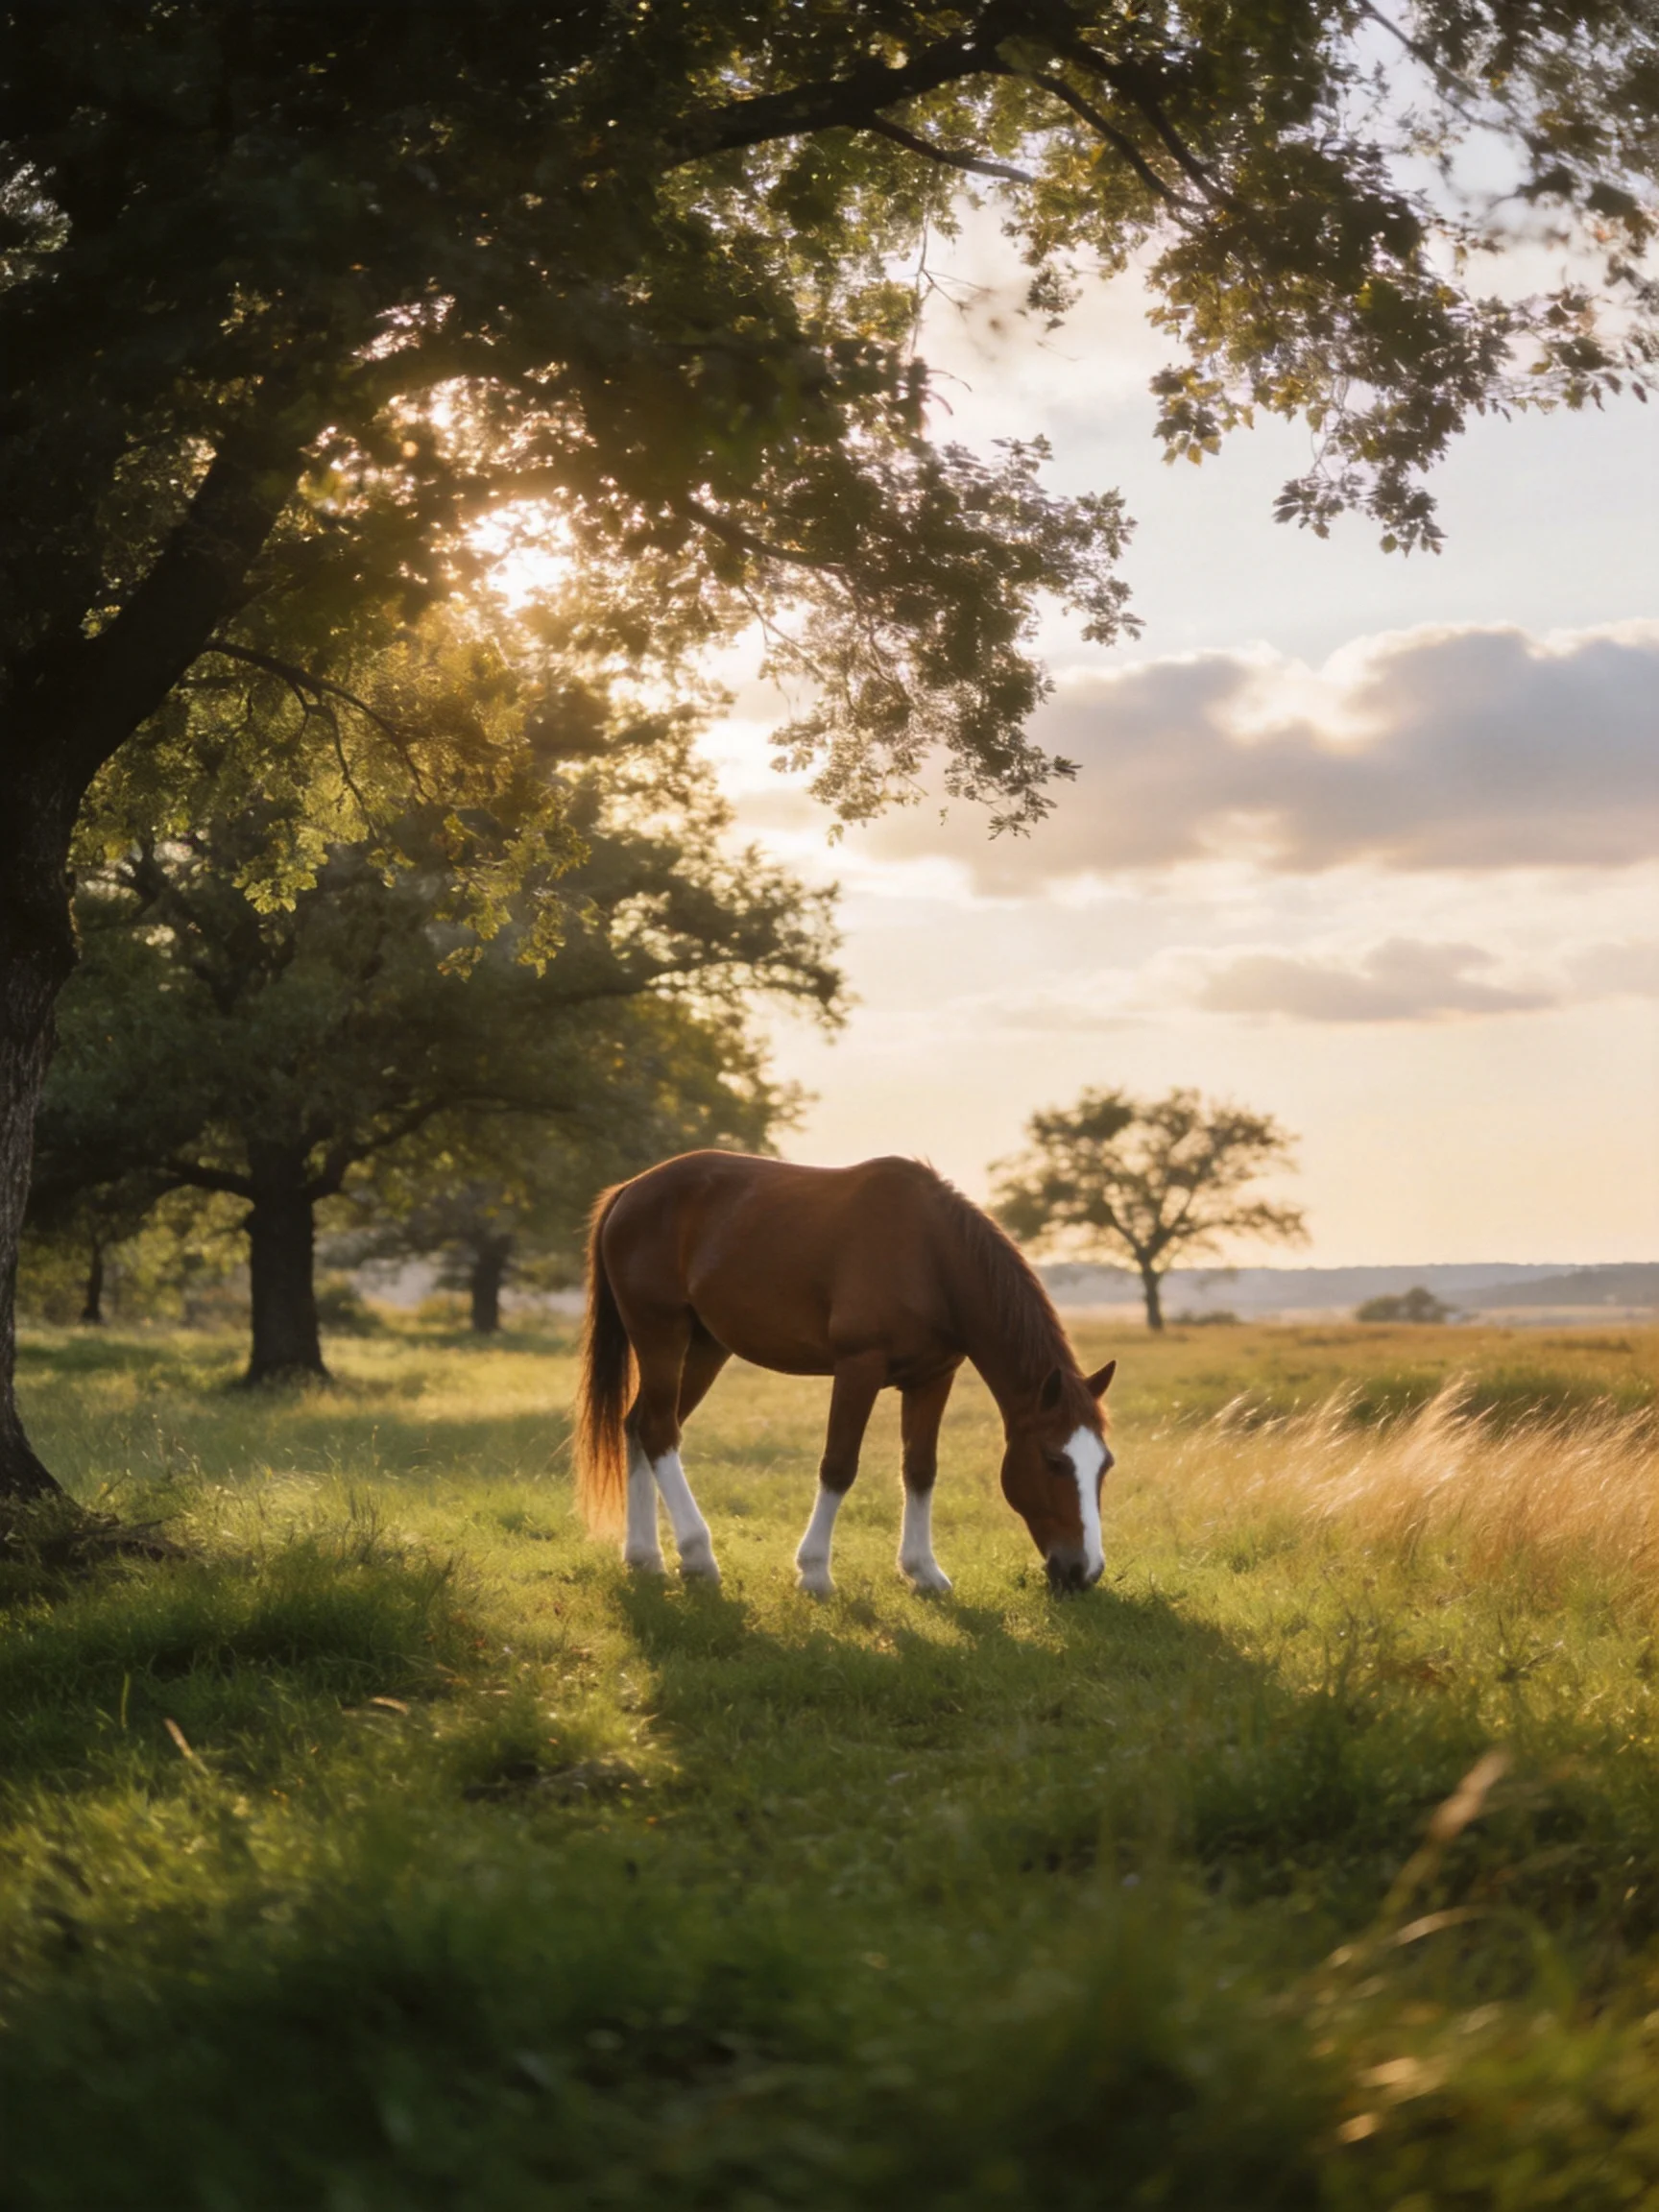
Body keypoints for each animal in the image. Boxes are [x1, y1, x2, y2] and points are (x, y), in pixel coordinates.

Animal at [575, 1150, 1116, 1595]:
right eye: (1053, 1460)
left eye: (1105, 1465)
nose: (1083, 1571)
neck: (930, 1256)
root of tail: (629, 1191)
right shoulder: (859, 1367)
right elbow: (838, 1465)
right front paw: (814, 1571)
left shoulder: (933, 1378)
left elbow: (920, 1469)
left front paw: (923, 1570)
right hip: (660, 1334)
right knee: (659, 1431)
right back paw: (697, 1556)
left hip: (706, 1348)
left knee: (639, 1425)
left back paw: (645, 1558)